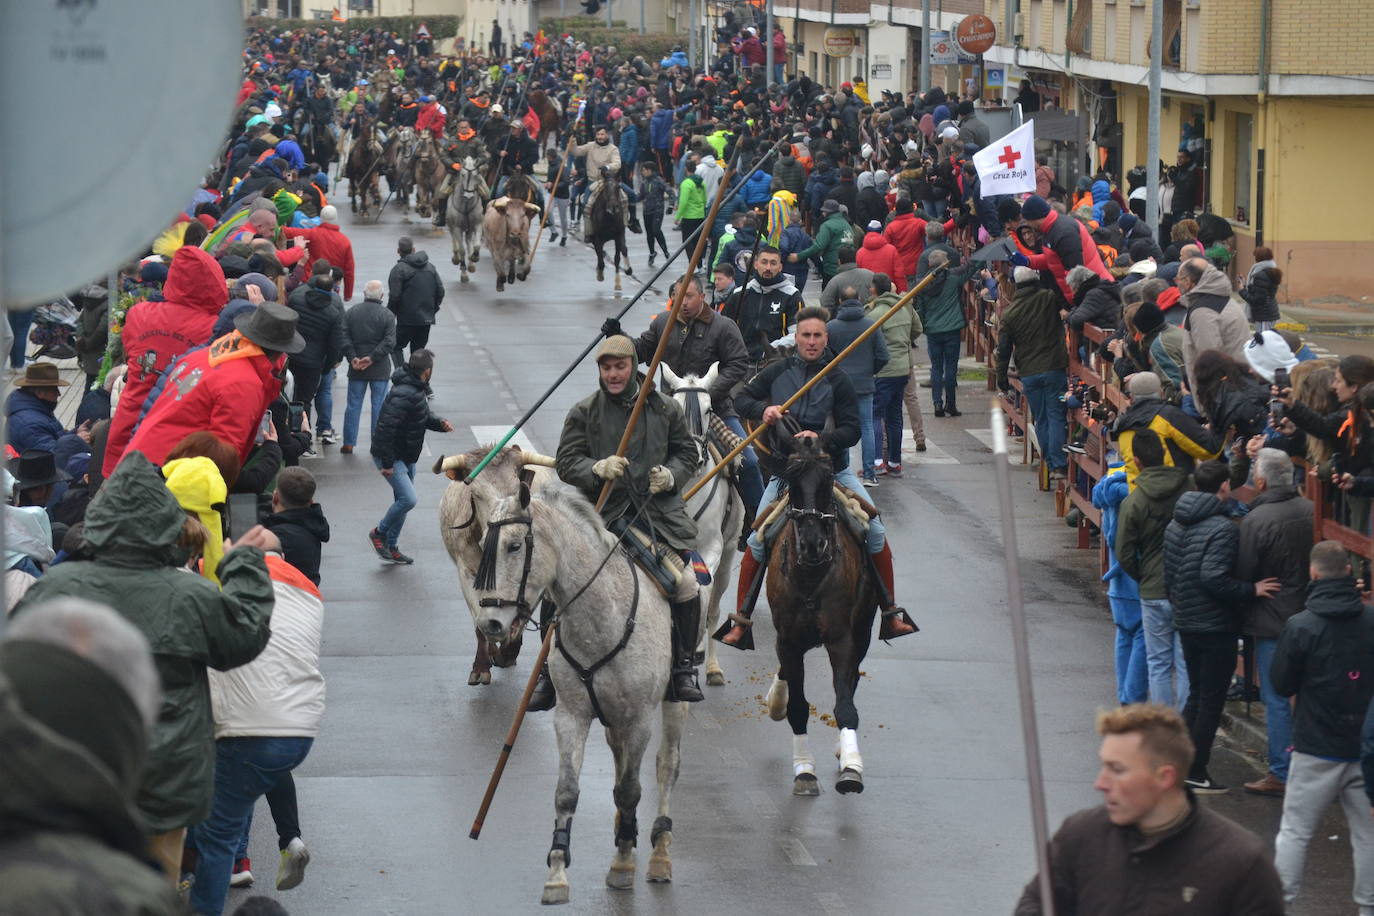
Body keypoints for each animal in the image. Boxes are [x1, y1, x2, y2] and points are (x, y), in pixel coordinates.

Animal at [469, 477, 687, 906]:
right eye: (484, 543)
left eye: (514, 546)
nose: (490, 623)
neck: (604, 616)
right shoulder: (572, 715)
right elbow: (567, 791)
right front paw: (556, 871)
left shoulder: (639, 720)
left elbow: (631, 790)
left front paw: (622, 864)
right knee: (619, 761)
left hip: (673, 701)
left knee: (665, 765)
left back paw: (659, 851)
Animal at [659, 362, 747, 683]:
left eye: (709, 409)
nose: (695, 457)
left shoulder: (713, 548)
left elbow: (704, 594)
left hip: (730, 553)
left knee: (714, 607)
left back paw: (711, 667)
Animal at [763, 433, 879, 796]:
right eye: (792, 482)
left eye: (828, 480)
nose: (813, 544)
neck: (811, 573)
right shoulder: (787, 640)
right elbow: (798, 708)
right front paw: (804, 770)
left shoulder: (842, 639)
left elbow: (844, 703)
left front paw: (852, 768)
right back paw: (776, 700)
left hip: (863, 632)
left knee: (852, 681)